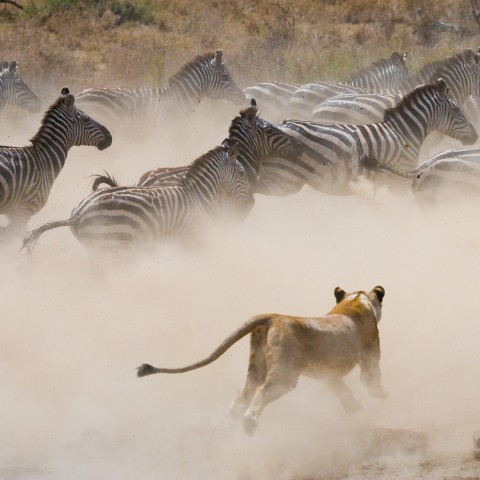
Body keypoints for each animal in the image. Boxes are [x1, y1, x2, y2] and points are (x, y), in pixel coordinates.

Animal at [23, 140, 255, 255]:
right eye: (242, 174)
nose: (252, 203)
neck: (199, 196)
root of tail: (79, 213)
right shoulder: (190, 240)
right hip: (116, 247)